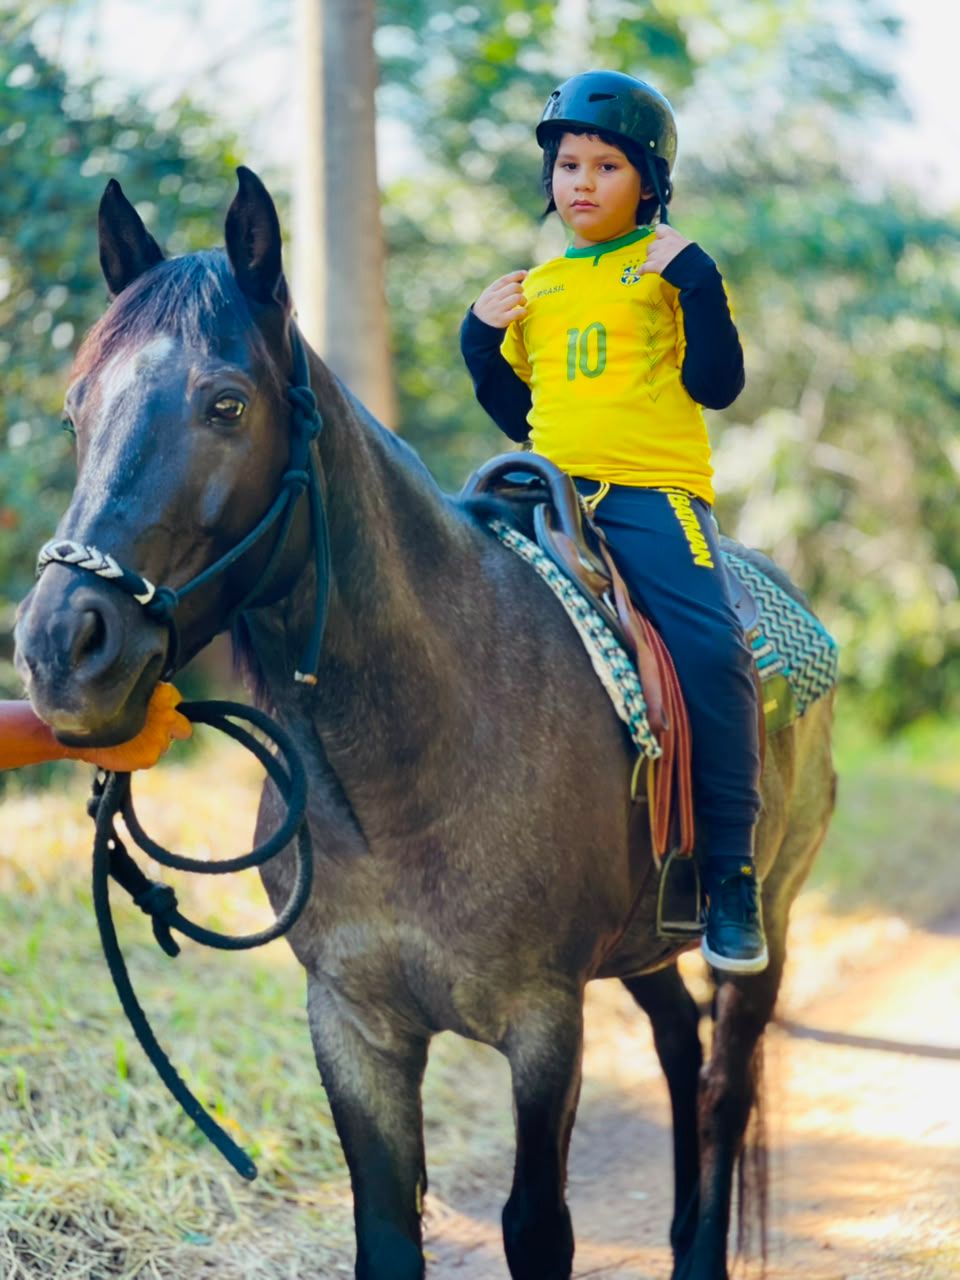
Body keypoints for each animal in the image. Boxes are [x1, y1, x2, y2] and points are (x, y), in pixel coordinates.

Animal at [14, 168, 836, 1280]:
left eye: (226, 404)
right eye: (75, 413)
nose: (63, 646)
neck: (411, 764)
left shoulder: (543, 1020)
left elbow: (538, 1226)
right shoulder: (354, 1026)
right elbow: (387, 1230)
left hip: (767, 917)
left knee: (725, 1081)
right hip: (643, 941)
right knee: (679, 1044)